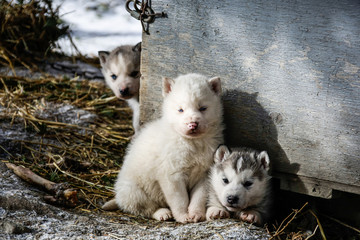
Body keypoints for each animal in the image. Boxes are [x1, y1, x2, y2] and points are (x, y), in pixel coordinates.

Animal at [111, 73, 224, 223]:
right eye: (180, 110)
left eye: (203, 108)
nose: (193, 124)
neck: (191, 142)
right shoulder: (172, 175)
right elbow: (180, 200)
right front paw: (183, 216)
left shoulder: (204, 175)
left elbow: (198, 198)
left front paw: (196, 214)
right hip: (133, 191)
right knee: (147, 208)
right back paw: (163, 213)